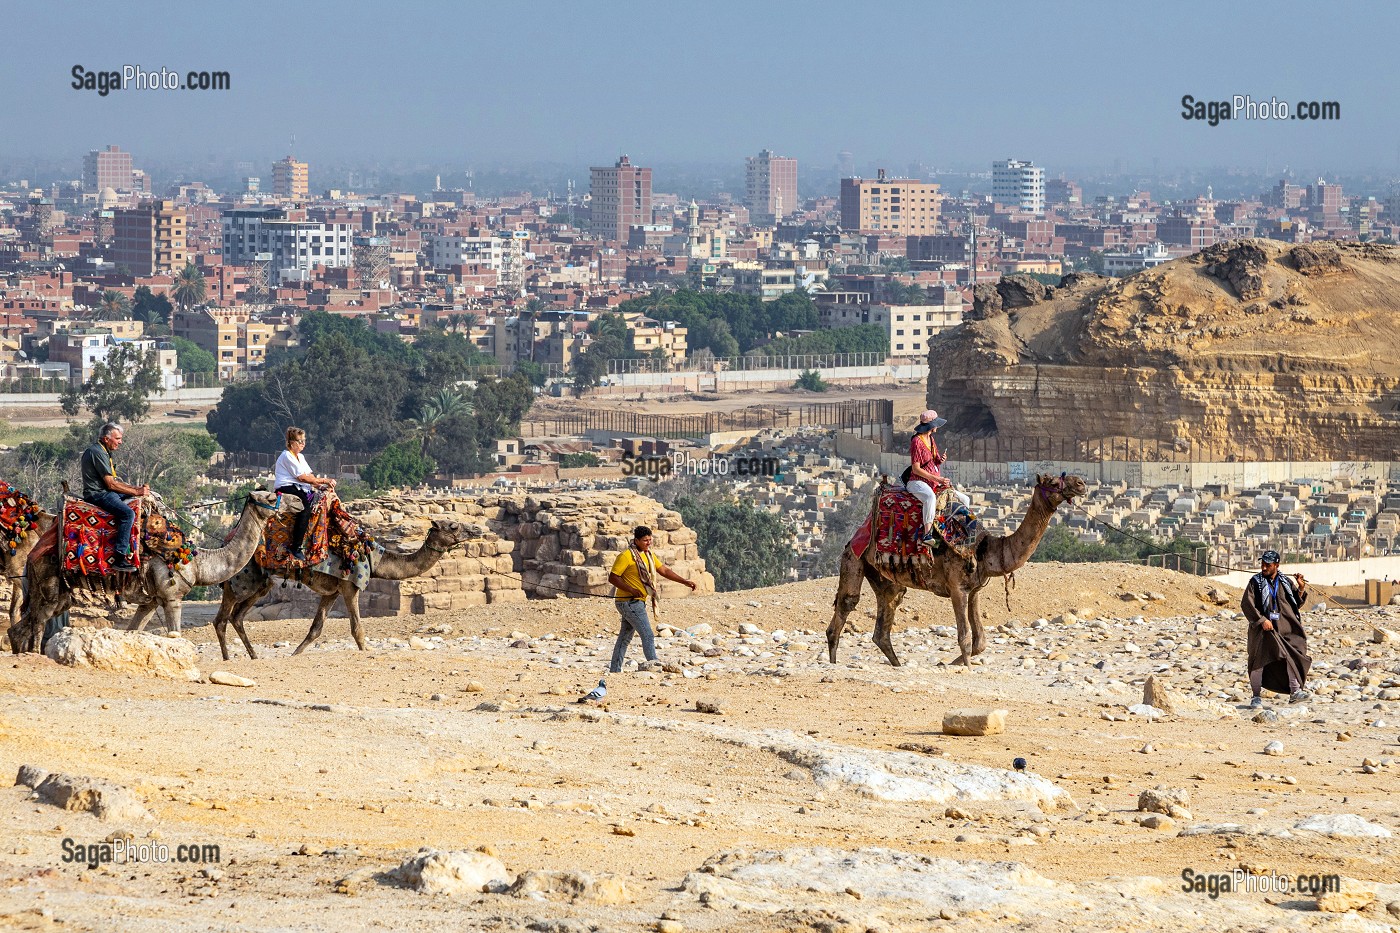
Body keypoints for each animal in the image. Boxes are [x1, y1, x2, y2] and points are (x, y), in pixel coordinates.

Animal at [8, 487, 295, 652]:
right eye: (272, 497)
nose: (298, 501)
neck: (197, 563)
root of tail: (34, 552)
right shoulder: (172, 597)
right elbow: (173, 634)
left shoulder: (151, 601)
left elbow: (132, 631)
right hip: (49, 585)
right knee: (38, 623)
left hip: (56, 593)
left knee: (21, 627)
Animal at [211, 515, 476, 661]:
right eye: (453, 526)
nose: (476, 529)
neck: (376, 558)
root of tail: (226, 540)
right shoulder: (350, 586)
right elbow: (357, 629)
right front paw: (365, 651)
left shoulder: (332, 592)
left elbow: (315, 629)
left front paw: (294, 654)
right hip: (240, 578)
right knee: (222, 619)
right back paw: (227, 658)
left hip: (259, 584)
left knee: (237, 617)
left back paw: (254, 656)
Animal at [823, 476, 1086, 664]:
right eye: (1053, 482)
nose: (1081, 484)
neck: (984, 549)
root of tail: (859, 531)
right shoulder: (957, 588)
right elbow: (965, 638)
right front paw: (962, 666)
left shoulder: (974, 590)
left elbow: (980, 641)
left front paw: (951, 663)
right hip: (854, 557)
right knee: (846, 604)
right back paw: (833, 663)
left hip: (884, 576)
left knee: (887, 612)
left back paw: (896, 663)